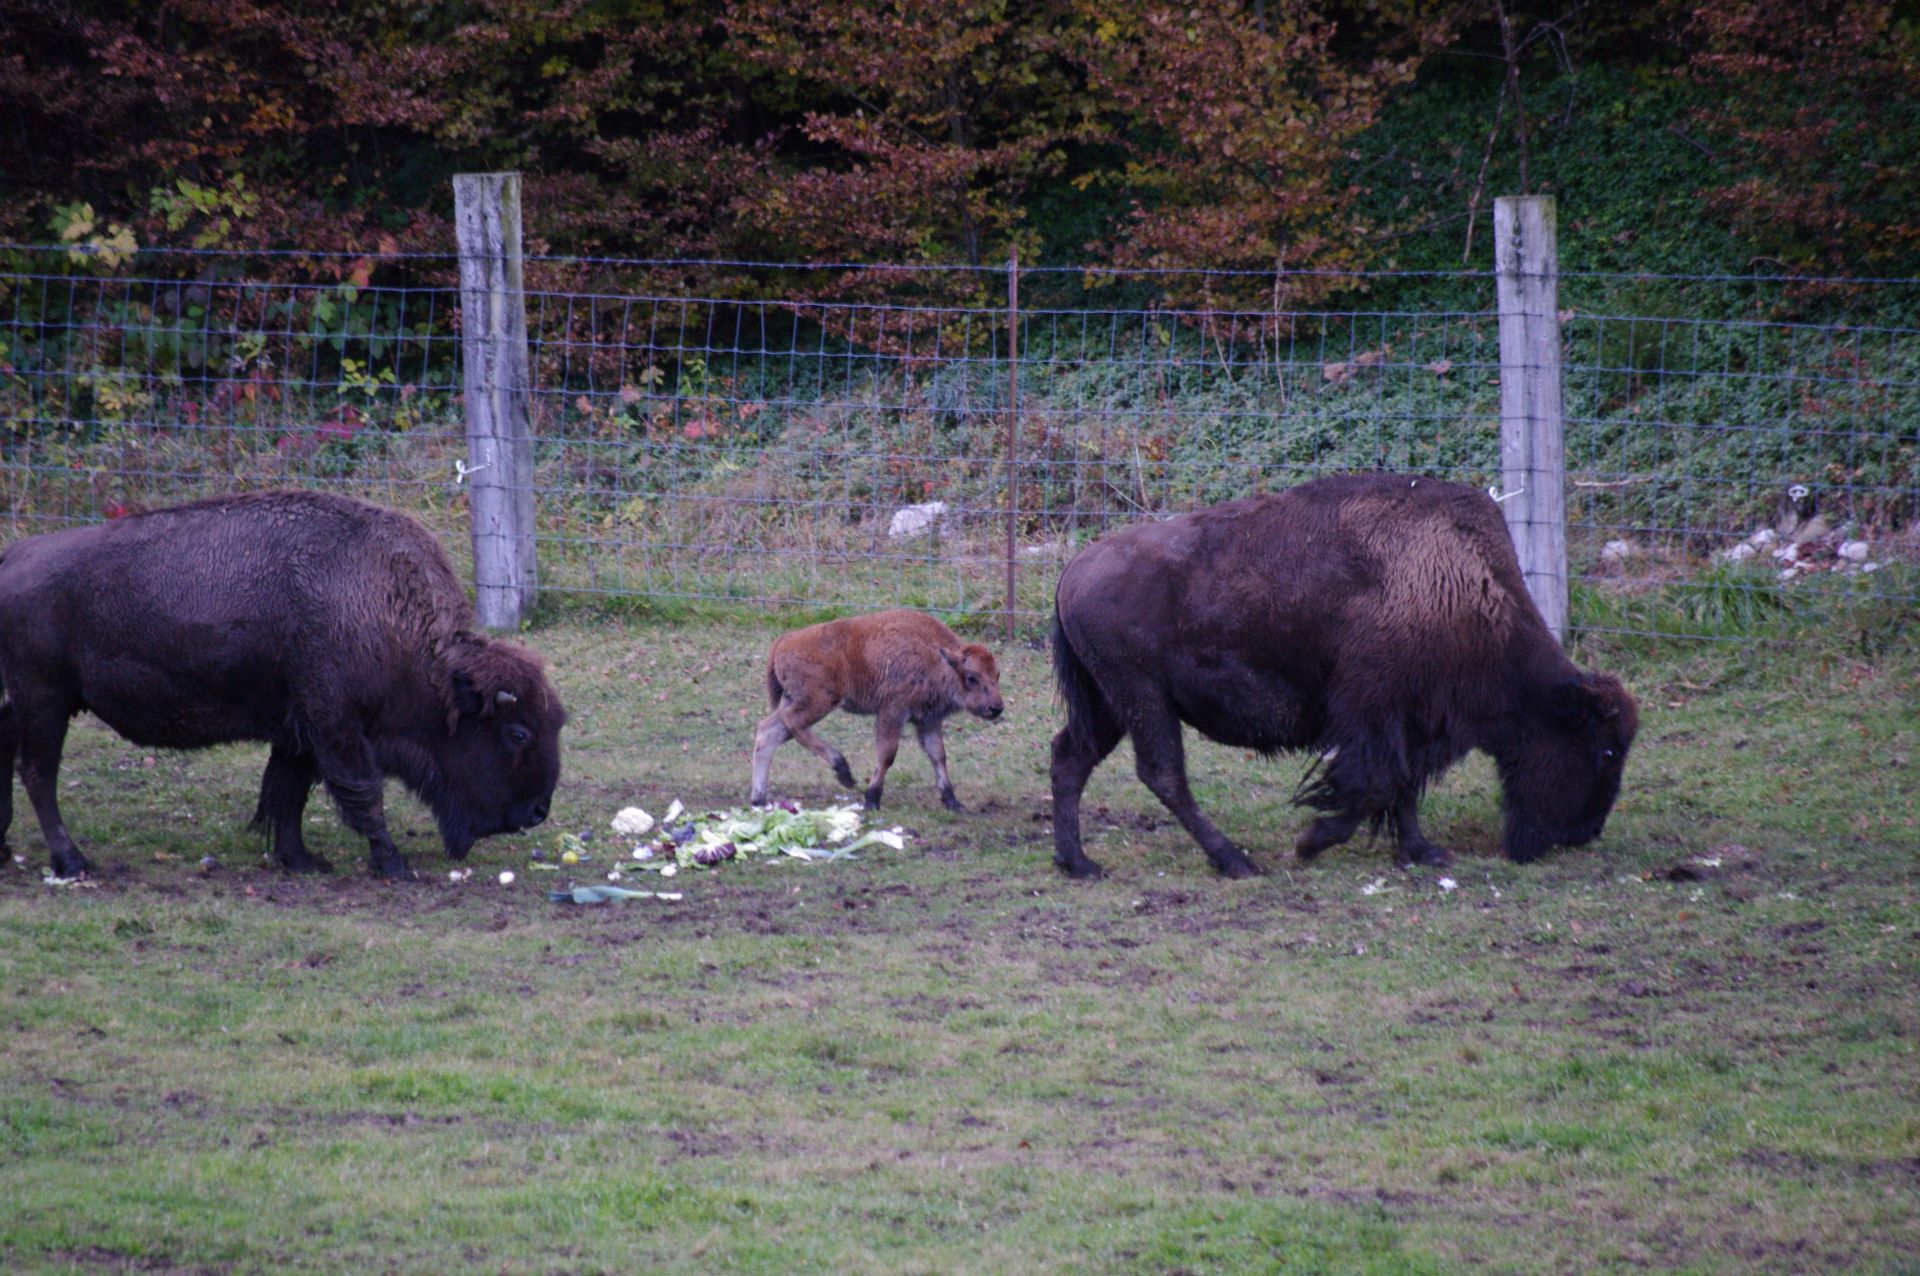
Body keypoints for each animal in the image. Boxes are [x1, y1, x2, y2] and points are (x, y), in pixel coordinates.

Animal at [0, 491, 568, 882]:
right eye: (517, 732)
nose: (539, 811)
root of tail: (11, 558)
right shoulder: (336, 727)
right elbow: (362, 794)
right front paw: (393, 864)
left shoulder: (298, 733)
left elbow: (287, 794)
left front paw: (300, 860)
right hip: (45, 699)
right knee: (38, 773)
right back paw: (72, 861)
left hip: (28, 701)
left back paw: (6, 847)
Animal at [748, 606, 1006, 805]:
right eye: (972, 677)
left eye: (997, 674)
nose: (996, 708)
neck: (936, 658)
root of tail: (783, 641)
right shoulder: (893, 712)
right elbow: (887, 755)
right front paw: (872, 799)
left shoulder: (929, 720)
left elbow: (938, 755)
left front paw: (952, 801)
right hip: (819, 702)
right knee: (792, 724)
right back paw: (843, 771)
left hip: (799, 701)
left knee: (769, 732)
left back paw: (758, 798)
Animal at [1044, 472, 1643, 882]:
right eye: (1605, 750)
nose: (1584, 834)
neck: (1461, 588)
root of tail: (1072, 572)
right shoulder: (1371, 714)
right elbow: (1377, 783)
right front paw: (1311, 841)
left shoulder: (1409, 722)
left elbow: (1402, 786)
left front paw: (1423, 852)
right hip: (1142, 697)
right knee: (1163, 774)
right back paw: (1235, 861)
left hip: (1109, 704)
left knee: (1070, 757)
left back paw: (1080, 863)